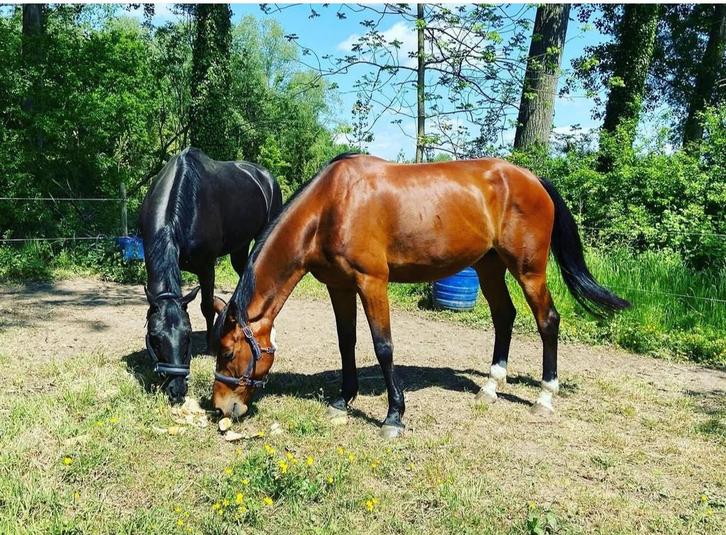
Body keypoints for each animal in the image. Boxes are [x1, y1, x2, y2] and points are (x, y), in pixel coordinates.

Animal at [139, 147, 282, 404]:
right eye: (154, 337)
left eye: (187, 336)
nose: (177, 390)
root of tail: (265, 177)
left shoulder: (207, 267)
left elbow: (206, 306)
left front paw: (210, 347)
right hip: (239, 248)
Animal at [212, 153, 629, 437]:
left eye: (229, 352)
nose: (220, 407)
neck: (333, 205)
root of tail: (532, 179)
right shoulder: (339, 285)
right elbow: (347, 343)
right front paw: (342, 401)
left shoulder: (372, 282)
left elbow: (383, 347)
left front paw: (394, 416)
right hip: (489, 265)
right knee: (504, 316)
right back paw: (490, 387)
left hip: (528, 270)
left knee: (547, 321)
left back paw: (545, 397)